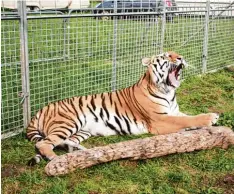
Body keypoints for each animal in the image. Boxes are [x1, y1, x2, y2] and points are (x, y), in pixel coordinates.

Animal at [26, 51, 218, 165]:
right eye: (166, 56)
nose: (180, 58)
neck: (168, 91)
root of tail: (39, 110)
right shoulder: (160, 120)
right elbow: (186, 119)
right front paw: (212, 117)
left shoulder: (174, 112)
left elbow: (187, 116)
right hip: (68, 123)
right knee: (44, 143)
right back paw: (54, 159)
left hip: (81, 131)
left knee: (65, 143)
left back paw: (81, 153)